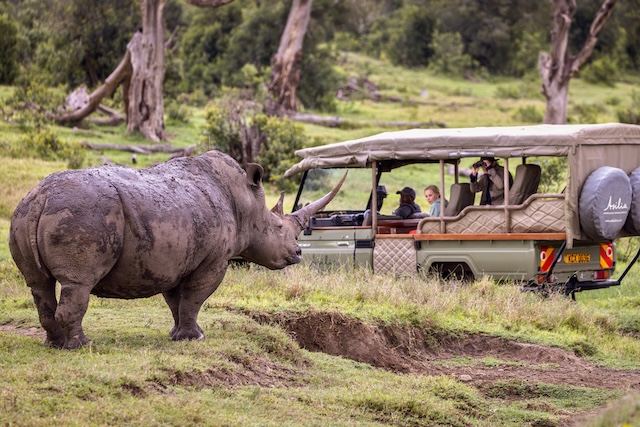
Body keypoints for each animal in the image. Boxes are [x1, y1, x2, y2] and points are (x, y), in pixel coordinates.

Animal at [9, 151, 345, 349]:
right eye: (277, 228)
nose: (298, 253)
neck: (246, 205)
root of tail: (41, 197)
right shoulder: (214, 260)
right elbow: (195, 297)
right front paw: (195, 338)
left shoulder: (174, 258)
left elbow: (177, 301)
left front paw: (178, 335)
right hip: (84, 213)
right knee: (78, 282)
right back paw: (82, 345)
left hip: (24, 214)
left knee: (38, 284)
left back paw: (54, 344)